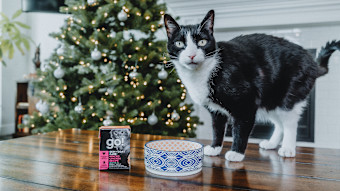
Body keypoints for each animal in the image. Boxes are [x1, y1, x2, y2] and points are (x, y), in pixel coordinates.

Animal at [163, 10, 338, 161]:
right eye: (179, 43)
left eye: (202, 42)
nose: (192, 55)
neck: (204, 73)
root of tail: (313, 63)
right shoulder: (215, 110)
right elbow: (217, 129)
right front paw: (214, 148)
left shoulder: (246, 102)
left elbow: (241, 128)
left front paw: (236, 153)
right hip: (270, 98)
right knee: (279, 123)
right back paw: (271, 143)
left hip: (290, 94)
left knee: (289, 122)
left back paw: (288, 148)